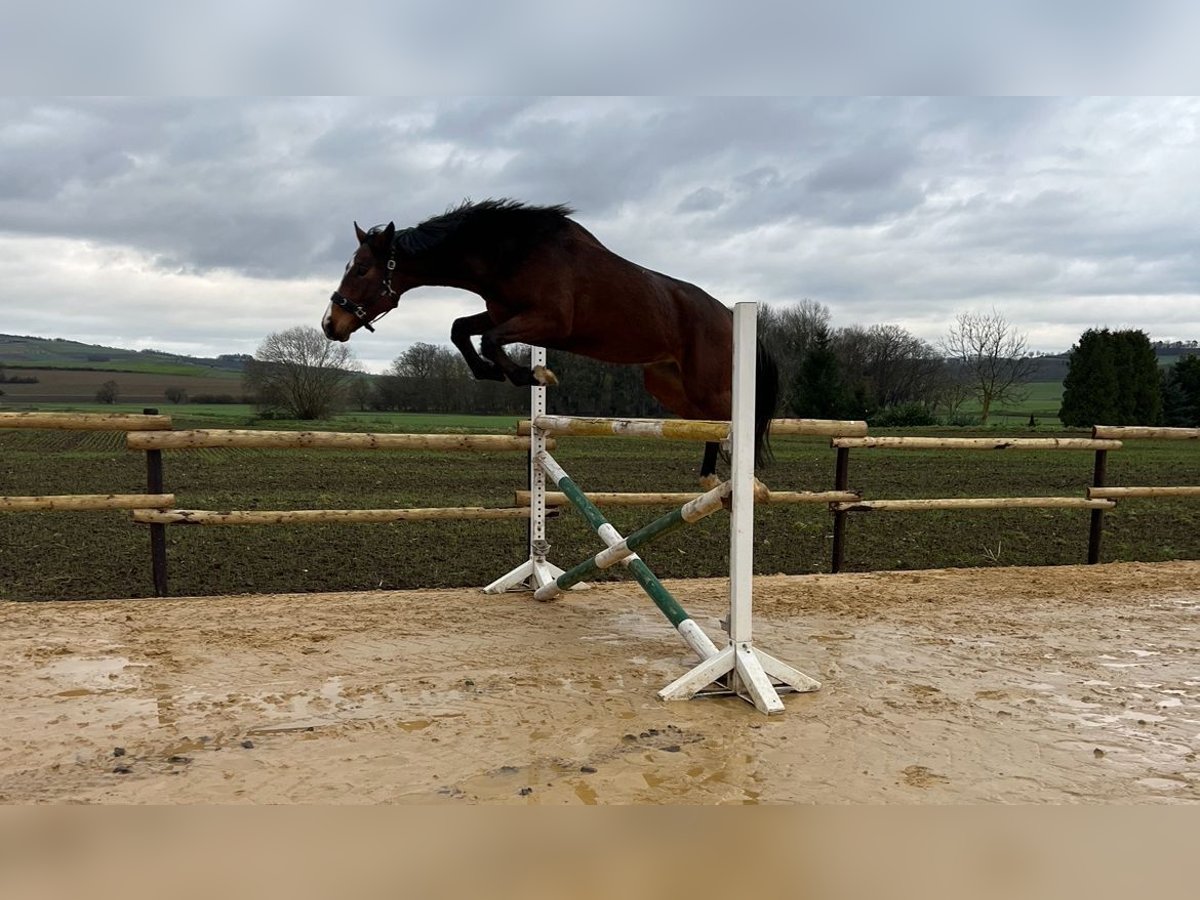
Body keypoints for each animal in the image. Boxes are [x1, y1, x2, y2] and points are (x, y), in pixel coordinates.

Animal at [324, 199, 782, 487]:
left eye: (361, 269)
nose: (331, 324)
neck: (512, 254)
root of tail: (727, 314)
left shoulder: (548, 321)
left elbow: (488, 340)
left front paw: (533, 374)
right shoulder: (503, 313)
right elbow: (461, 330)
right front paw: (498, 373)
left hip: (707, 383)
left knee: (733, 419)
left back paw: (746, 483)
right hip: (666, 384)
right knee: (708, 422)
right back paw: (709, 477)